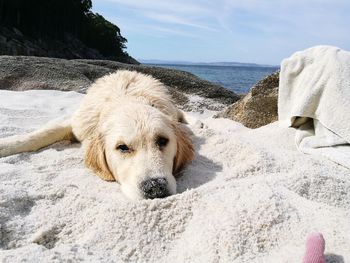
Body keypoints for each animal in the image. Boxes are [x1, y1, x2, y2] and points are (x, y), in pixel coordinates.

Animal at [0, 71, 194, 201]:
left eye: (162, 141)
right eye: (122, 147)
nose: (155, 187)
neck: (126, 99)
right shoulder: (77, 123)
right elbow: (43, 133)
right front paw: (6, 144)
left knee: (179, 112)